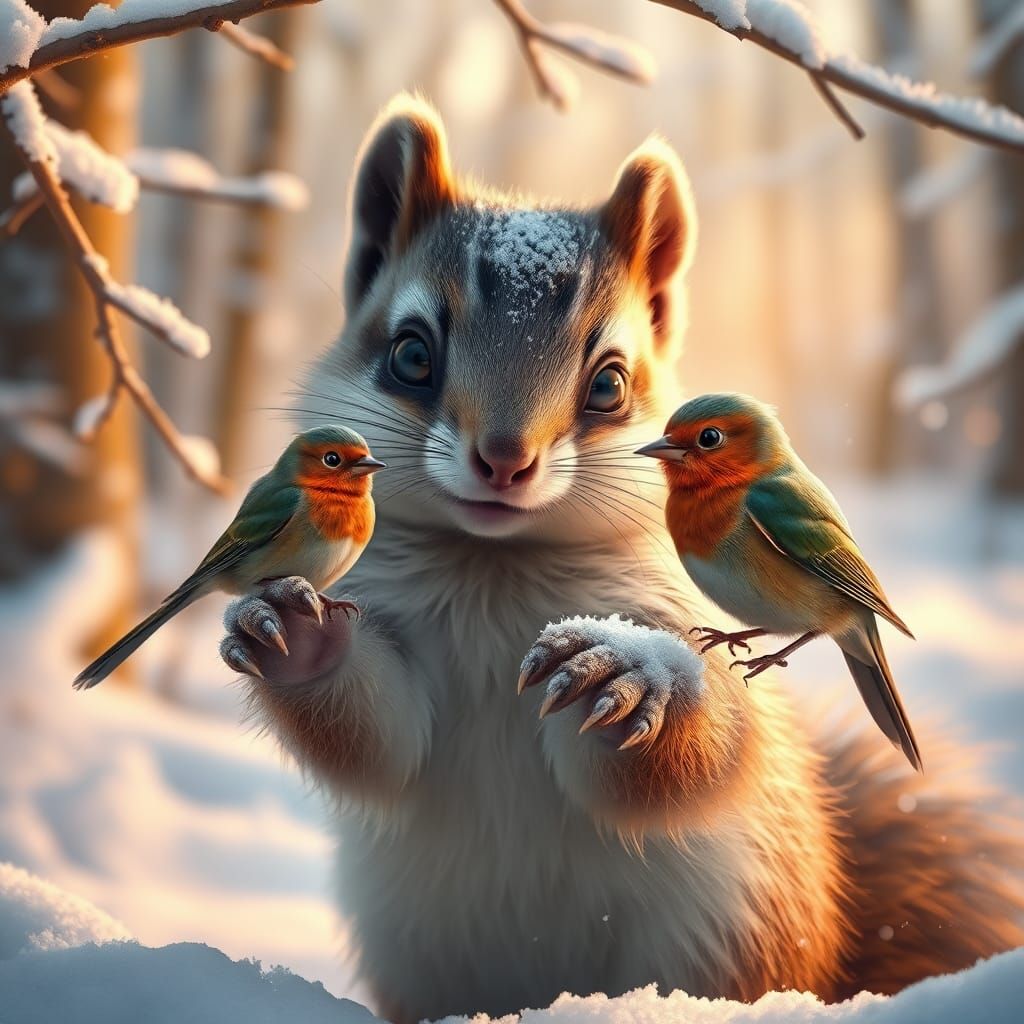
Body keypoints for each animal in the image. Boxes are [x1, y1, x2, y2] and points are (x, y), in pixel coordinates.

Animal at [219, 95, 1024, 1023]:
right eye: (410, 353)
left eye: (609, 382)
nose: (504, 460)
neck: (494, 568)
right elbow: (378, 732)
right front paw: (302, 637)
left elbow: (695, 761)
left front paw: (634, 673)